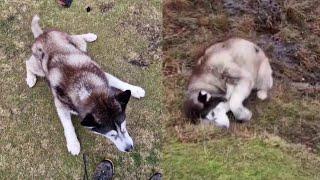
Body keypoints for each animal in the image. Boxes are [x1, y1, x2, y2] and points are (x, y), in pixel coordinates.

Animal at [25, 15, 146, 155]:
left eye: (123, 127)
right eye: (111, 135)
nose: (129, 148)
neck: (86, 88)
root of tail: (41, 35)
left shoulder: (101, 75)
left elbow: (119, 82)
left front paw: (136, 90)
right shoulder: (60, 104)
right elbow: (67, 125)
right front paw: (73, 143)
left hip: (78, 45)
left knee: (76, 37)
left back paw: (89, 36)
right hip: (38, 67)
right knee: (27, 62)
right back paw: (30, 78)